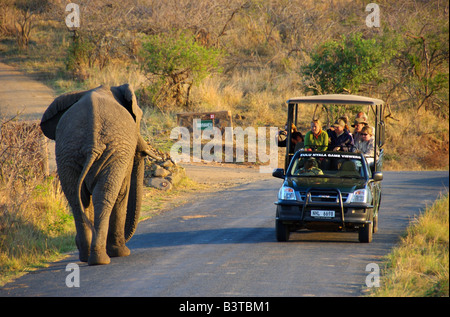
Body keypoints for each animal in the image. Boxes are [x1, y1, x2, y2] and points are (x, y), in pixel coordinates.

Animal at [41, 84, 156, 264]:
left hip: (67, 153)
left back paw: (86, 256)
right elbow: (122, 192)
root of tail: (91, 144)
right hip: (111, 151)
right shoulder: (123, 156)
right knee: (104, 195)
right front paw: (121, 252)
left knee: (77, 199)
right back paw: (103, 258)